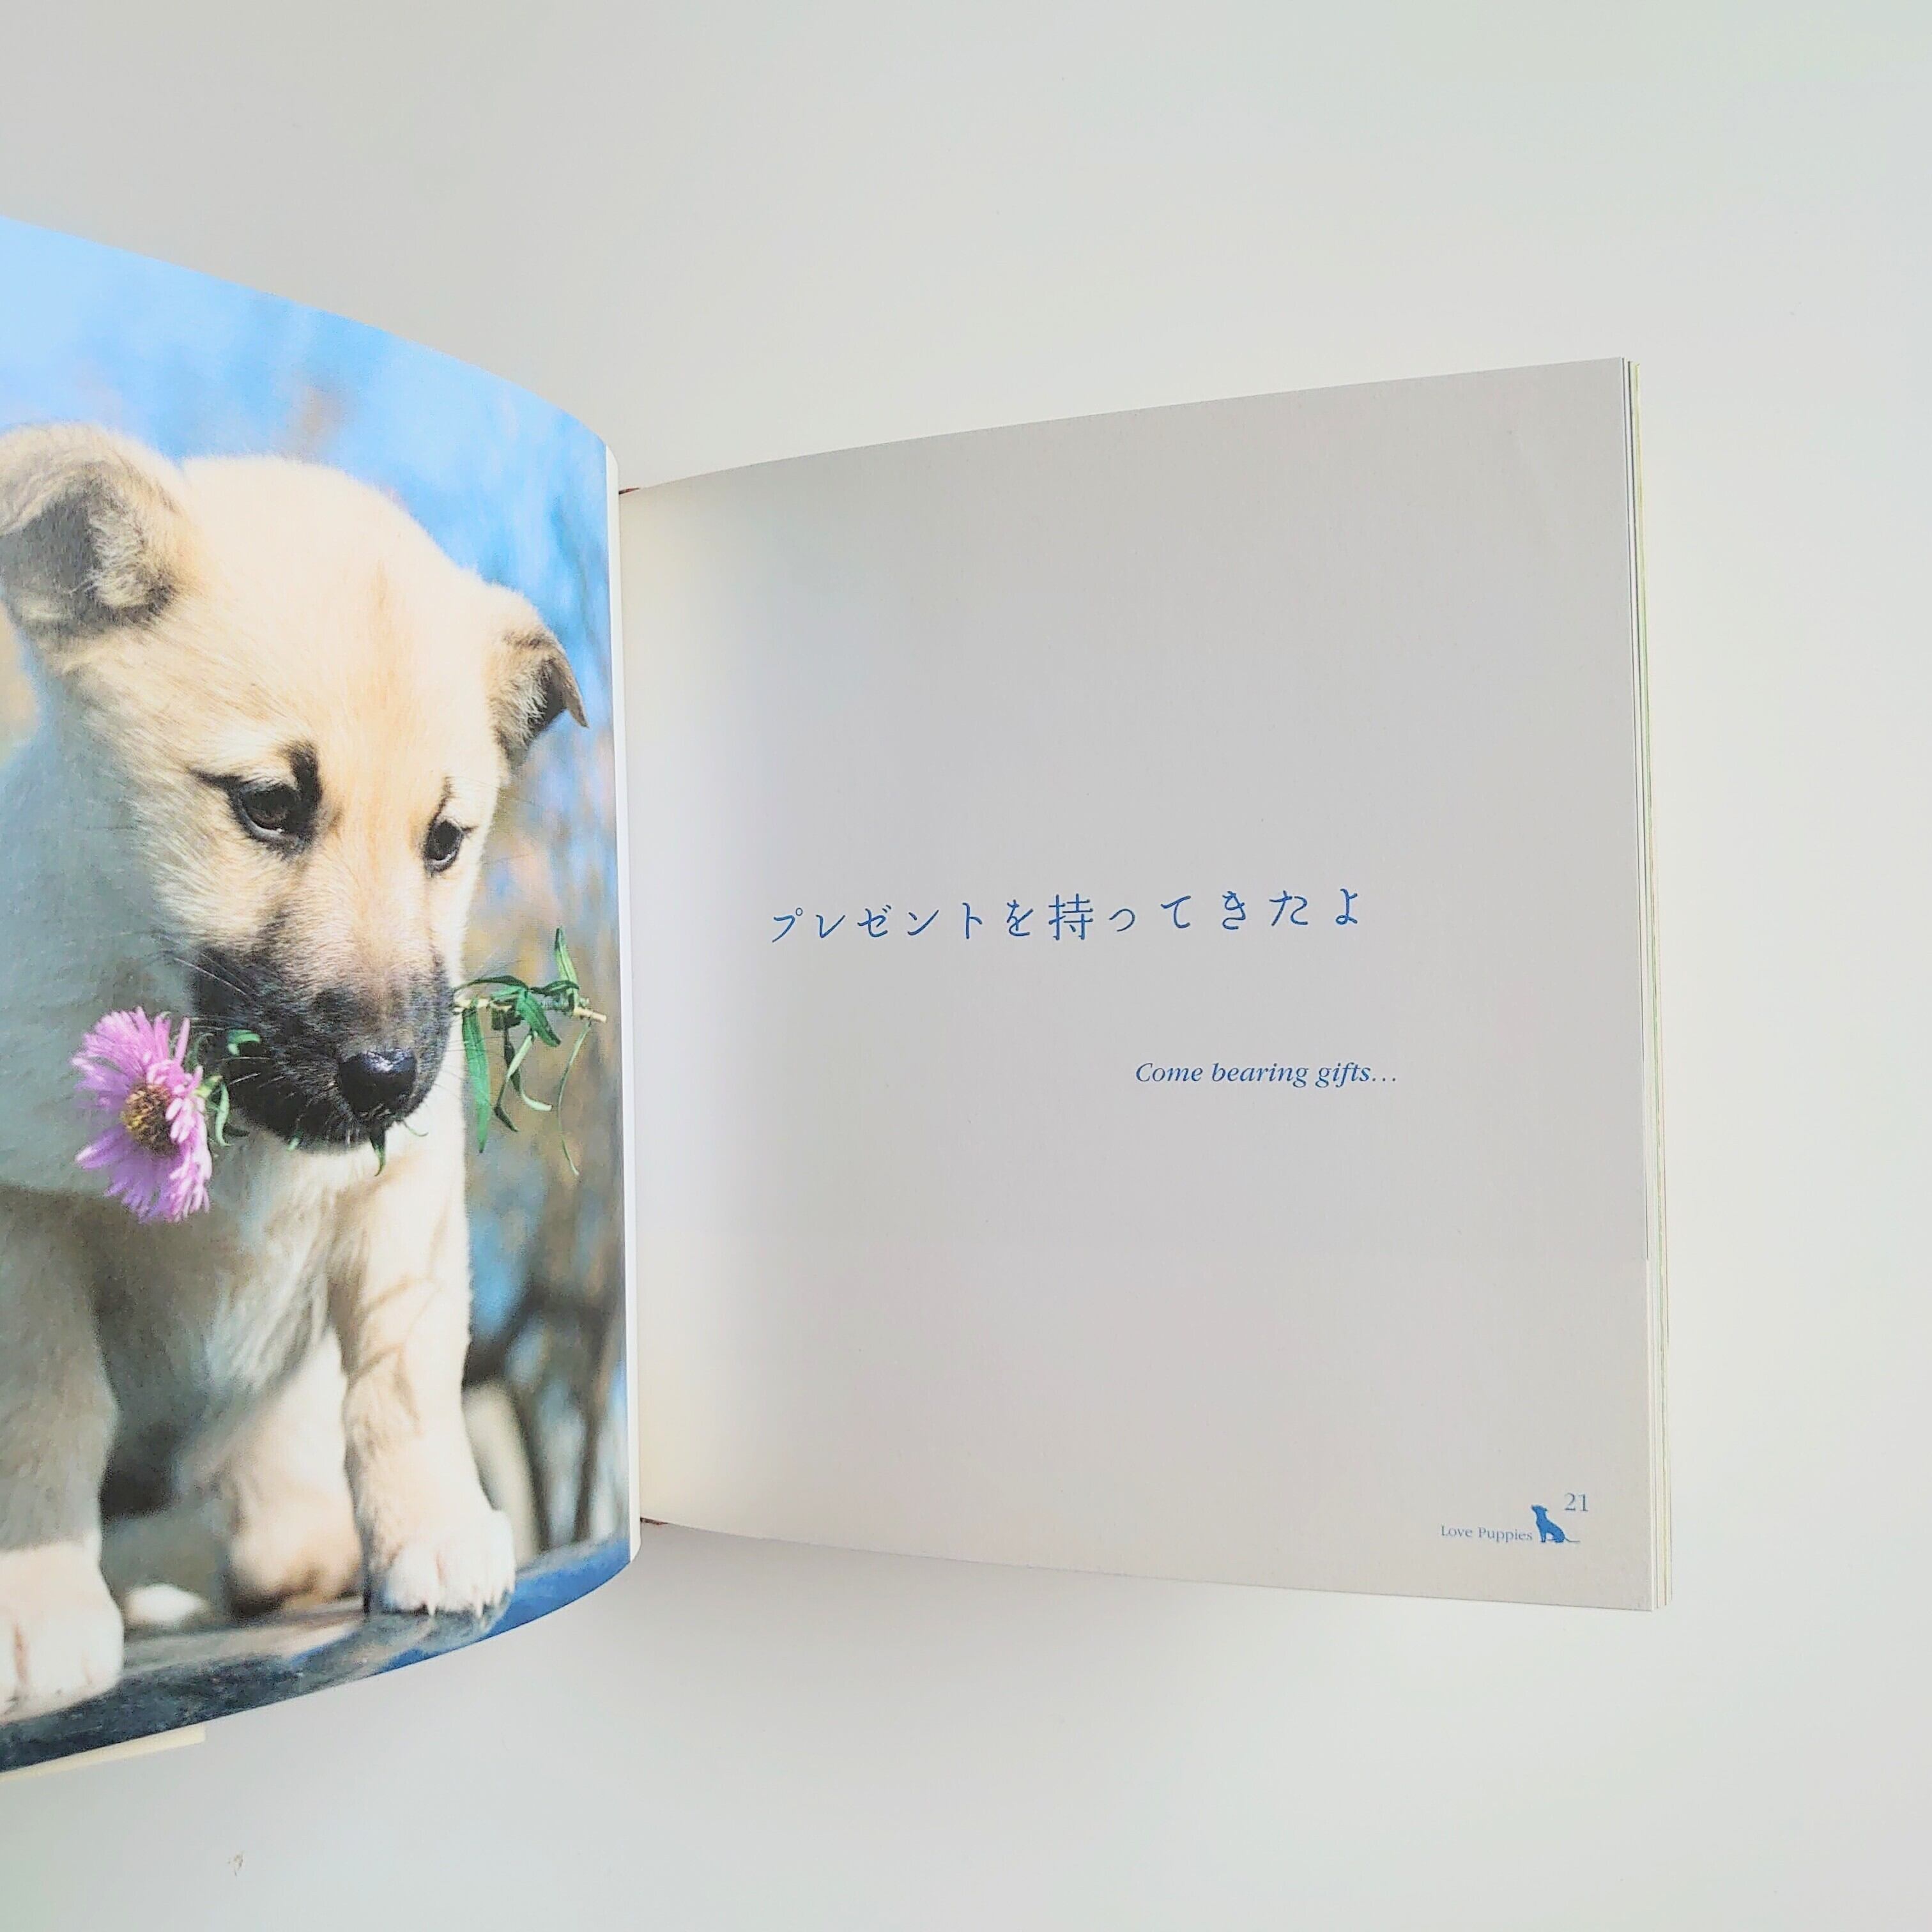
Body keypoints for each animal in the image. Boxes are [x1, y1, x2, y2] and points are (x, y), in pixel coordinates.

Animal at [0, 424, 584, 1709]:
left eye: (444, 841)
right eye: (268, 805)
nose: (387, 1075)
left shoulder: (406, 1196)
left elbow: (403, 1385)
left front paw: (434, 1531)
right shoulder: (25, 1218)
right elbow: (47, 1407)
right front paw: (41, 1599)